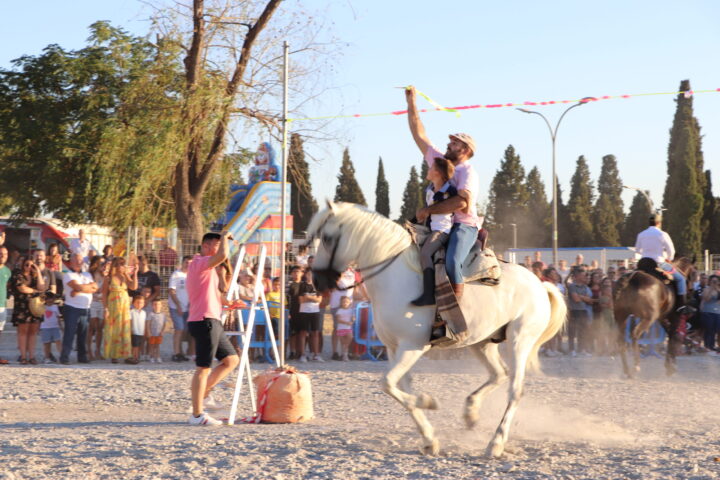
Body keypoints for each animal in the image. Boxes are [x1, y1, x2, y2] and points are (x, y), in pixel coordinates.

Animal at [310, 202, 568, 458]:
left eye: (328, 238)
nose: (316, 283)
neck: (396, 277)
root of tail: (540, 284)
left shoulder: (412, 347)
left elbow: (387, 384)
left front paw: (427, 402)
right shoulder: (394, 349)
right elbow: (398, 386)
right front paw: (429, 439)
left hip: (519, 340)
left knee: (515, 390)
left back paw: (495, 443)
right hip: (482, 342)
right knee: (499, 374)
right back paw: (471, 412)